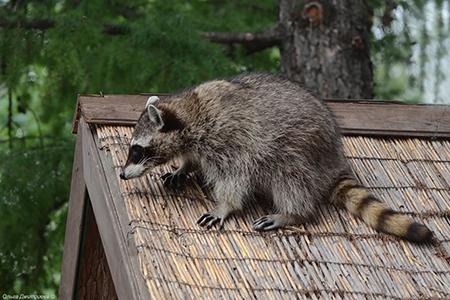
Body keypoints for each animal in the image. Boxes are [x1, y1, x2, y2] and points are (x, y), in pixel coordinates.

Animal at [119, 73, 432, 244]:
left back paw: (292, 212)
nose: (122, 174)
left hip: (300, 150)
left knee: (290, 179)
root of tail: (334, 159)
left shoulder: (233, 139)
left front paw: (224, 206)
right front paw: (184, 167)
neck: (191, 111)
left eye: (137, 150)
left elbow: (236, 180)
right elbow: (193, 159)